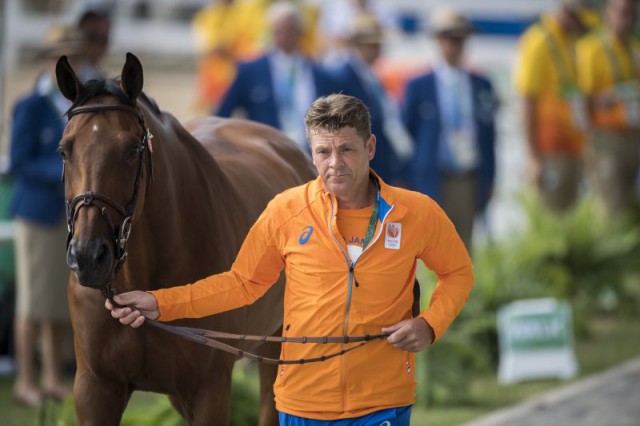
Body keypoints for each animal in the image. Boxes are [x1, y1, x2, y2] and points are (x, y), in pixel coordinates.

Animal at [56, 53, 316, 426]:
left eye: (132, 148)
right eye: (64, 150)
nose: (89, 256)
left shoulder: (209, 389)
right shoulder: (95, 389)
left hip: (277, 344)